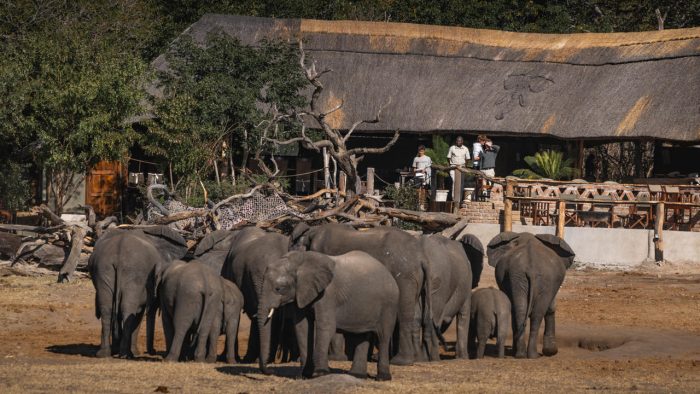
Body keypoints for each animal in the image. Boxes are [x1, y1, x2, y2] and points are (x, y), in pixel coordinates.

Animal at [89, 226, 189, 358]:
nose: (153, 352)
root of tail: (119, 251)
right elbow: (139, 313)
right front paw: (133, 352)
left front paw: (116, 350)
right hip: (134, 272)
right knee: (127, 309)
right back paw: (126, 354)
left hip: (104, 269)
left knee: (107, 309)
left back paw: (104, 353)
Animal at [260, 251, 400, 380]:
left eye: (279, 288)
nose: (271, 371)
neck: (300, 261)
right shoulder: (301, 293)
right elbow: (302, 327)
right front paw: (303, 376)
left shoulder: (328, 294)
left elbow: (326, 327)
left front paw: (320, 374)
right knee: (361, 336)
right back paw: (357, 375)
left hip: (389, 305)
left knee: (383, 337)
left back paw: (382, 378)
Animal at [288, 223, 432, 364]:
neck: (312, 231)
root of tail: (421, 257)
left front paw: (334, 358)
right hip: (414, 277)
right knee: (414, 313)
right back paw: (415, 359)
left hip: (404, 275)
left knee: (403, 313)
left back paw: (400, 361)